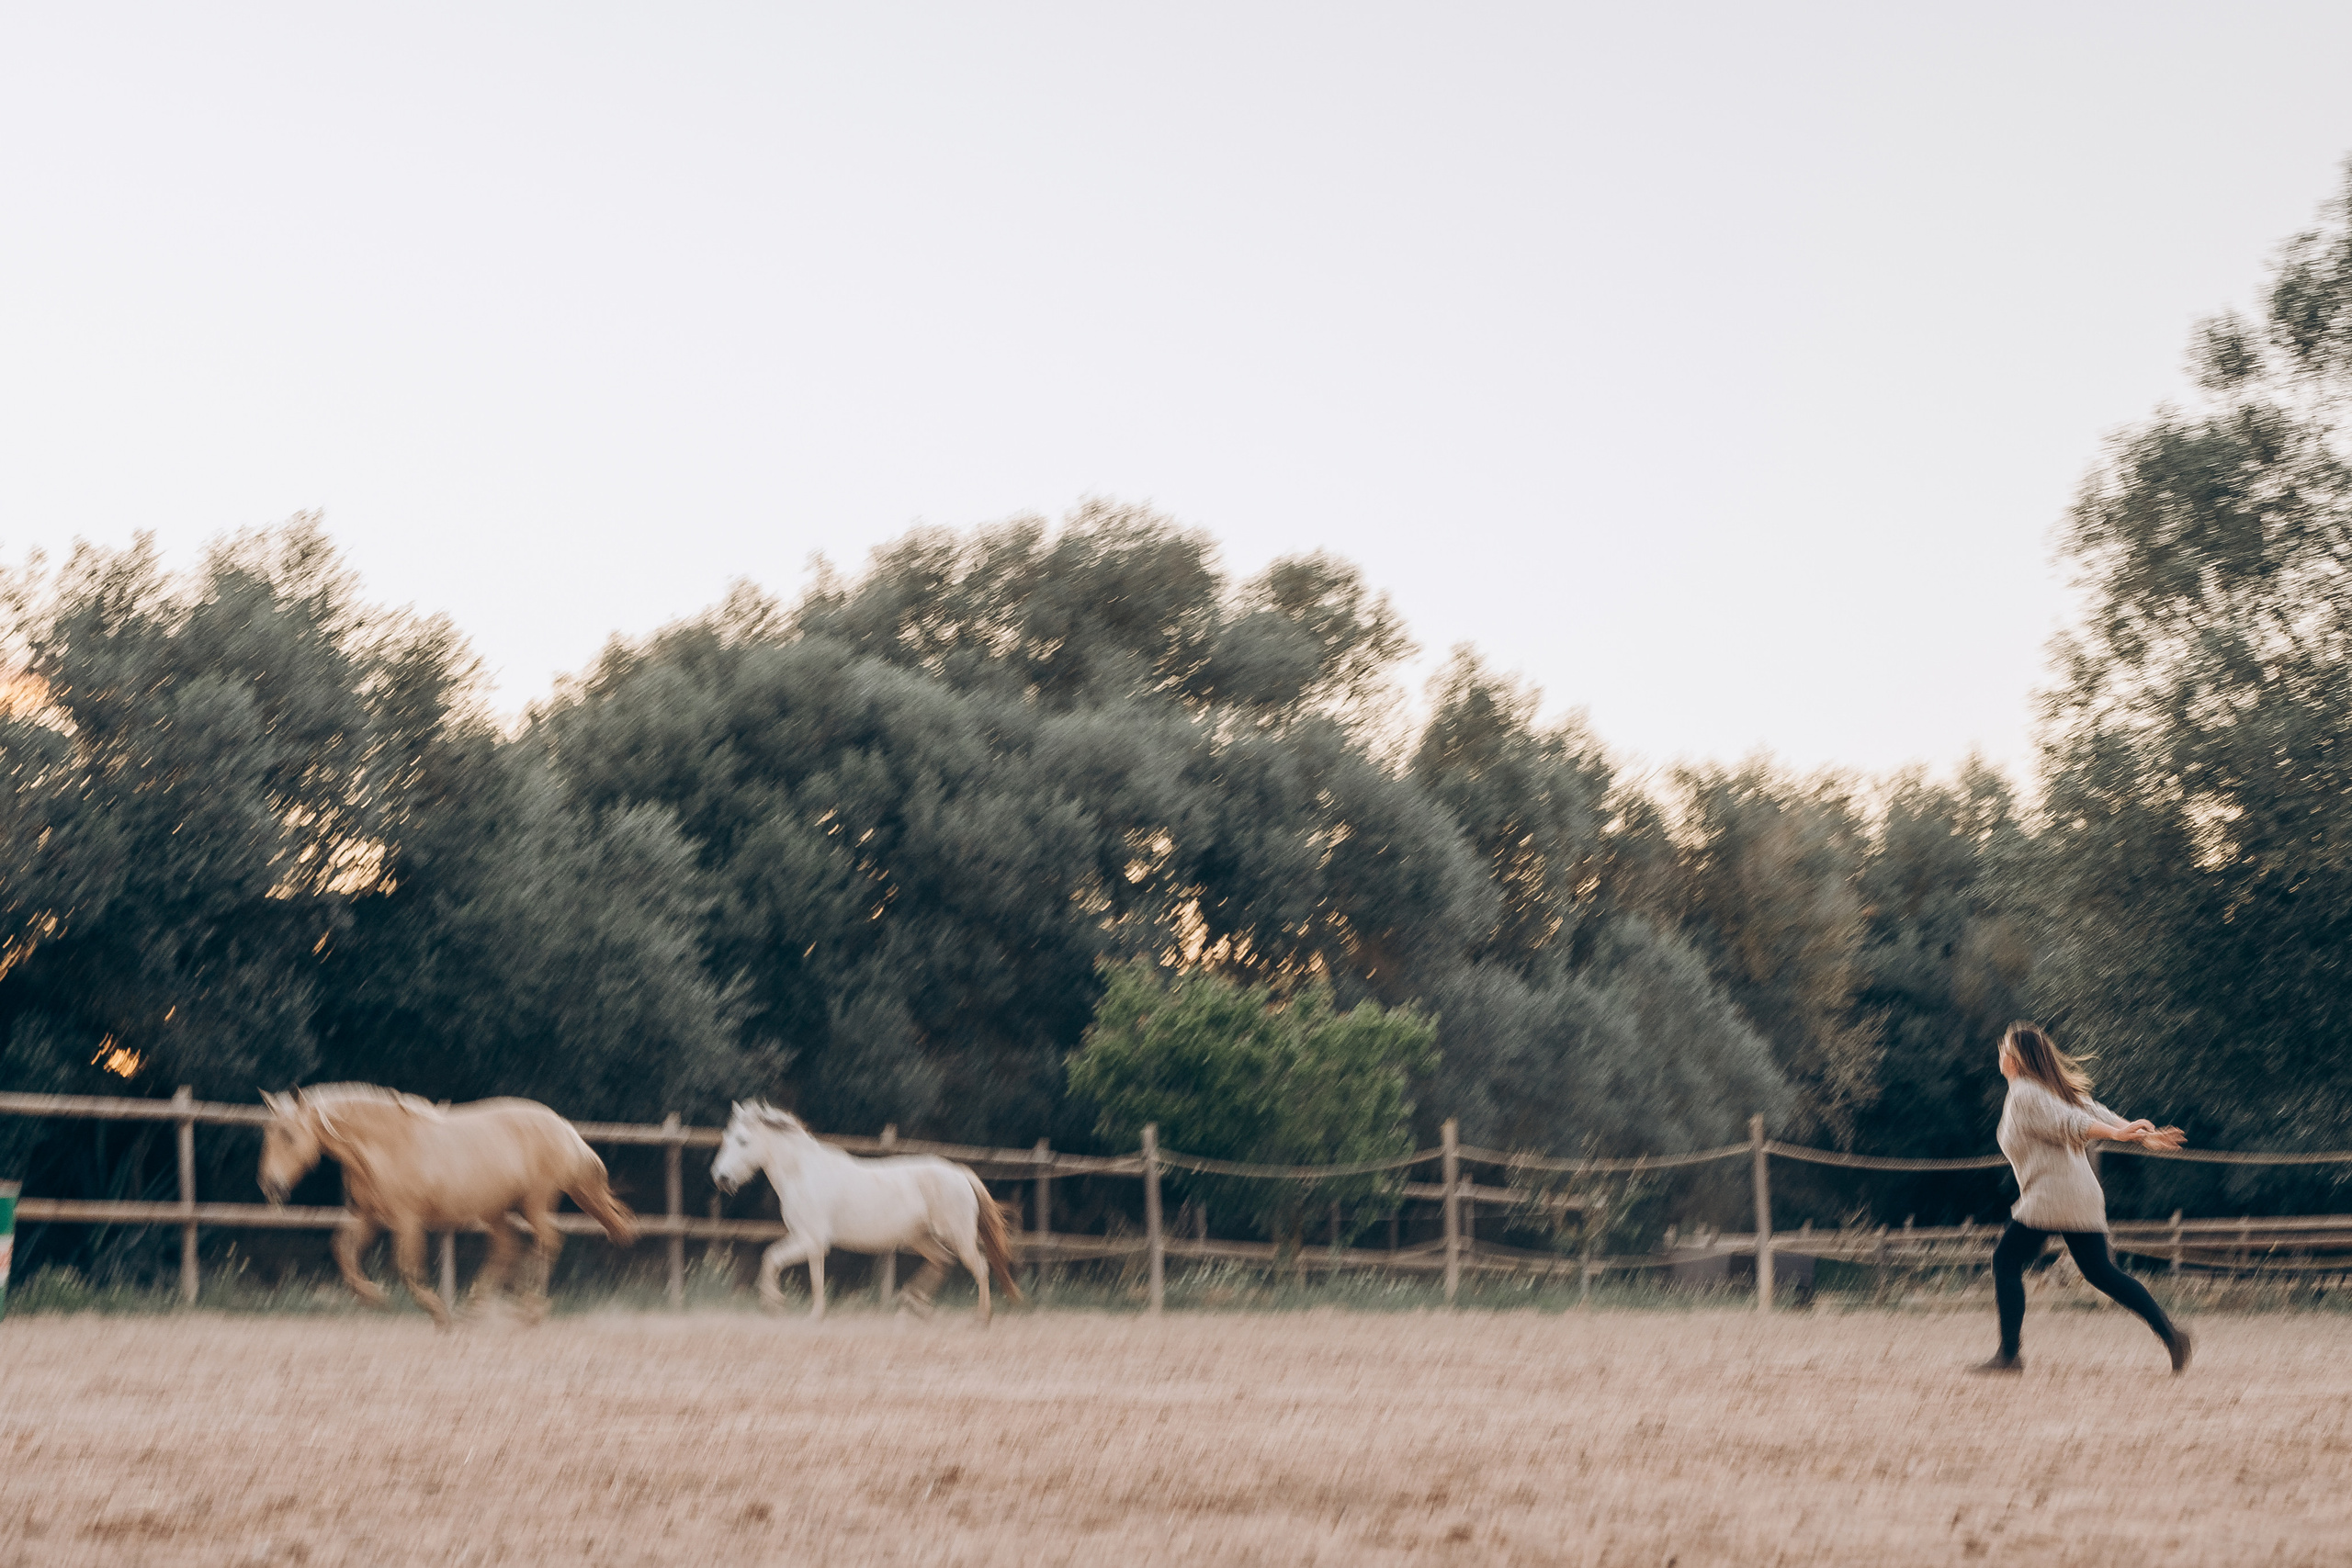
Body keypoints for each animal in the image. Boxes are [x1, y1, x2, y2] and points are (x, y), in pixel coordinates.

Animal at [258, 1084, 637, 1329]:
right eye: (267, 1135)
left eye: (289, 1135)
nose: (271, 1186)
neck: (384, 1148)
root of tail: (564, 1127)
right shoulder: (368, 1218)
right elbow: (343, 1252)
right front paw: (374, 1296)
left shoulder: (407, 1221)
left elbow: (408, 1268)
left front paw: (437, 1313)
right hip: (496, 1212)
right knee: (508, 1246)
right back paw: (476, 1308)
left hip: (534, 1204)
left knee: (548, 1241)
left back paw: (528, 1311)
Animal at [709, 1102, 1022, 1324]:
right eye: (726, 1137)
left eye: (743, 1141)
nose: (721, 1178)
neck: (803, 1174)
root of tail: (960, 1174)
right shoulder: (803, 1238)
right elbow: (774, 1260)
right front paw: (778, 1306)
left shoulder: (813, 1241)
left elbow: (794, 1268)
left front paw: (794, 1310)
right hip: (920, 1238)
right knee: (943, 1261)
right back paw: (913, 1307)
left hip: (958, 1235)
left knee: (979, 1267)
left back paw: (980, 1318)